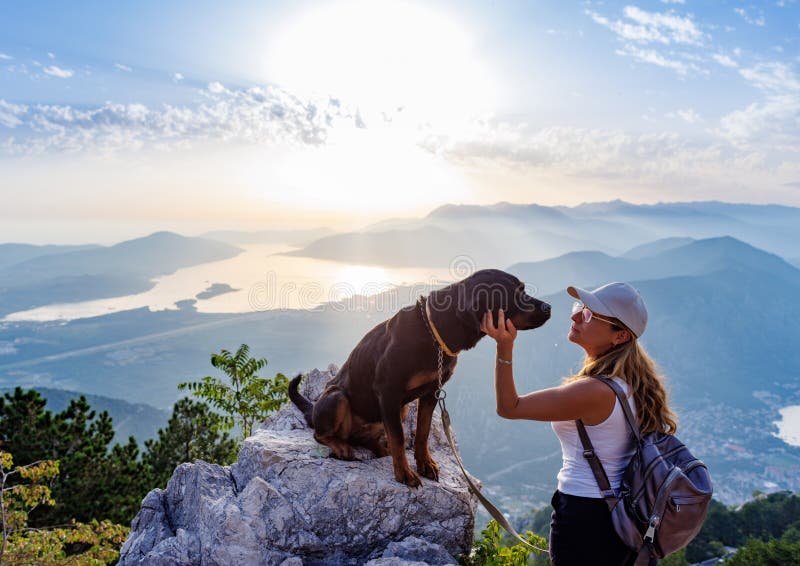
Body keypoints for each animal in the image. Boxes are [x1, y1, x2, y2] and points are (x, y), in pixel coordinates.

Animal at [288, 270, 552, 488]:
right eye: (518, 293)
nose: (549, 307)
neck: (435, 333)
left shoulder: (430, 393)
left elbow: (422, 432)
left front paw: (425, 463)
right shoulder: (389, 392)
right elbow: (399, 436)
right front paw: (404, 473)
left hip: (399, 410)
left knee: (366, 439)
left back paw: (378, 447)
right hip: (338, 398)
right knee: (321, 434)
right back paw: (342, 445)